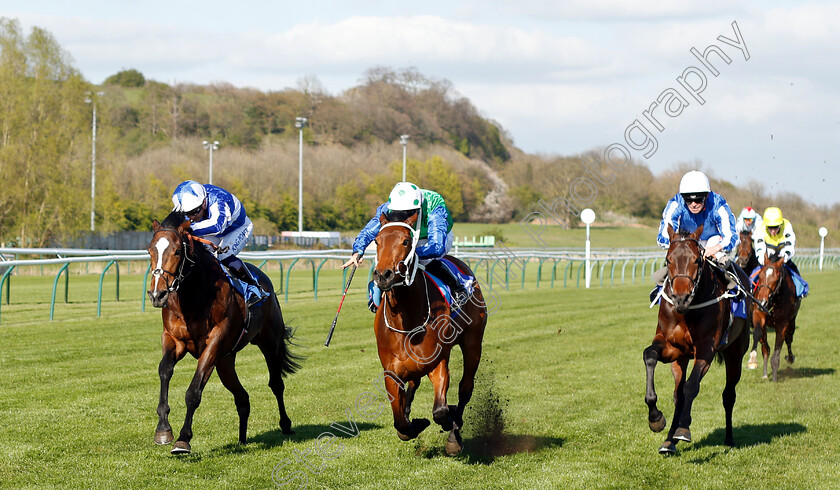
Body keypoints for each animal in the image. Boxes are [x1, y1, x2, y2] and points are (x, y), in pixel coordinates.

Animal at [147, 212, 298, 454]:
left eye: (177, 251)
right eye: (150, 251)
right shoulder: (174, 340)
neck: (194, 294)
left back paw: (285, 425)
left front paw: (183, 439)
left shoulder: (214, 342)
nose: (157, 294)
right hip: (225, 361)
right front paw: (163, 429)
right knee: (242, 397)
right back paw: (242, 440)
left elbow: (193, 391)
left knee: (276, 384)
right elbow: (164, 370)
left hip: (269, 343)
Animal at [372, 212, 486, 458]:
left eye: (406, 241)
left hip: (473, 343)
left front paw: (450, 426)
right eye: (376, 241)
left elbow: (441, 410)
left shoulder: (438, 361)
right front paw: (413, 424)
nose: (383, 275)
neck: (406, 320)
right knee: (414, 385)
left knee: (465, 388)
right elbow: (399, 421)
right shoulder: (391, 372)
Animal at [644, 226, 748, 456]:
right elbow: (650, 356)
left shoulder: (706, 350)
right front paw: (656, 419)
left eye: (697, 260)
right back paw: (669, 441)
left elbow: (691, 386)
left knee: (729, 395)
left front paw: (683, 428)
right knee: (678, 395)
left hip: (735, 353)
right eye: (668, 260)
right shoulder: (672, 348)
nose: (681, 298)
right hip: (681, 359)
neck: (687, 312)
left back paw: (729, 438)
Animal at [748, 249, 800, 382]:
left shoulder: (783, 323)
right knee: (765, 347)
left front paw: (775, 377)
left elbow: (779, 346)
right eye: (760, 275)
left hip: (792, 321)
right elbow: (757, 335)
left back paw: (790, 358)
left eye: (776, 279)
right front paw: (752, 360)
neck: (774, 300)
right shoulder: (758, 314)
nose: (762, 302)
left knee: (789, 339)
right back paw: (765, 373)